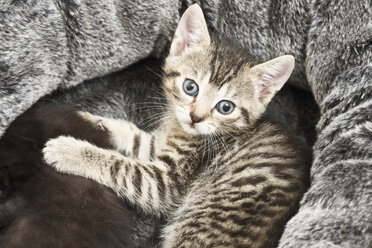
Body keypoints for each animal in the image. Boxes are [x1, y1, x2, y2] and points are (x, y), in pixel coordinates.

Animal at [42, 4, 310, 248]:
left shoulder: (165, 182)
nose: (195, 117)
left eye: (225, 107)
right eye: (190, 87)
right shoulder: (156, 144)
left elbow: (121, 167)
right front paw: (86, 118)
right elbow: (132, 136)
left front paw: (67, 150)